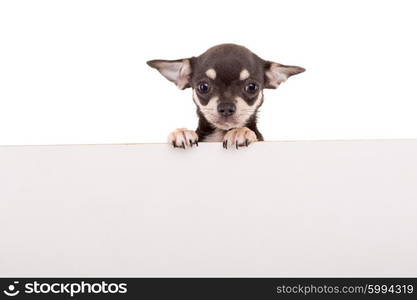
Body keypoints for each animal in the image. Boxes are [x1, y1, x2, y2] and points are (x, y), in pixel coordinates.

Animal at [146, 43, 302, 149]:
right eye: (203, 87)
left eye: (252, 87)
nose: (226, 107)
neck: (220, 134)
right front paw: (182, 132)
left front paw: (240, 132)